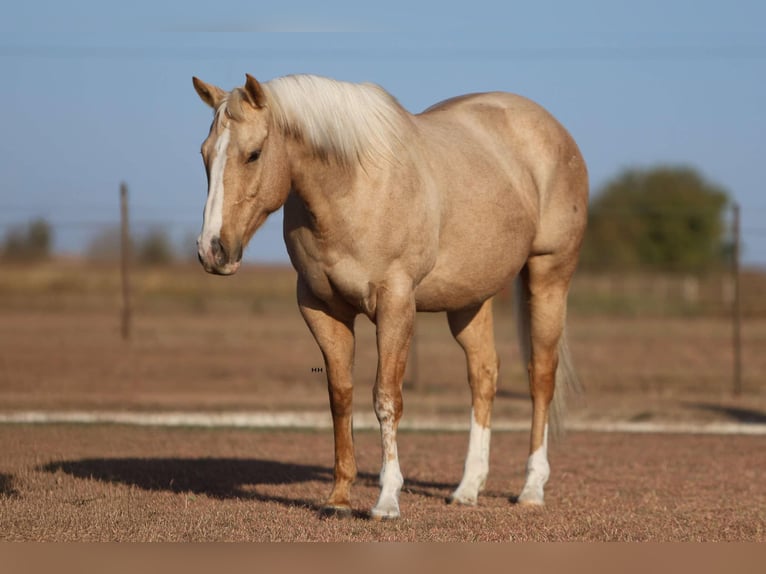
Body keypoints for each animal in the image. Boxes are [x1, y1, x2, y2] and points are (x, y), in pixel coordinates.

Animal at [192, 73, 588, 519]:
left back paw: (532, 488)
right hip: (470, 300)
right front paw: (339, 498)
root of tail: (554, 131)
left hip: (549, 276)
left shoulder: (396, 305)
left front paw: (386, 500)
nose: (212, 250)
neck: (354, 188)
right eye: (205, 154)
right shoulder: (321, 308)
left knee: (541, 376)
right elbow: (340, 397)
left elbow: (386, 398)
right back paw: (467, 488)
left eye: (254, 154)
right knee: (484, 374)